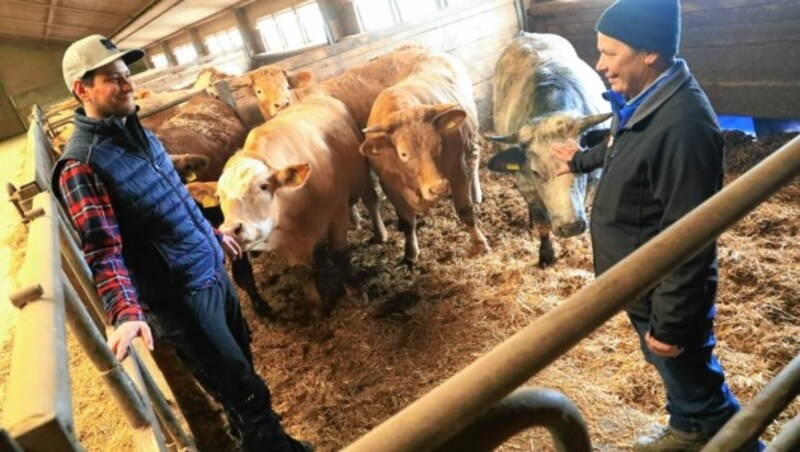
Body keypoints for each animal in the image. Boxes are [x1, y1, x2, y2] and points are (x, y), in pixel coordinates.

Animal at [216, 92, 384, 318]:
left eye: (263, 186)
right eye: (219, 196)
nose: (230, 231)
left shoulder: (336, 213)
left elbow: (340, 254)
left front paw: (356, 292)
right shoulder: (282, 241)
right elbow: (301, 271)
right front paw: (315, 307)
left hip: (362, 177)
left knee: (371, 202)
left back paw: (380, 232)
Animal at [360, 51, 488, 266]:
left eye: (439, 144)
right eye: (403, 153)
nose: (438, 188)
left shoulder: (458, 171)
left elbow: (465, 211)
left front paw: (480, 244)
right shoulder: (390, 187)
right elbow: (407, 222)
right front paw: (410, 253)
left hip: (472, 142)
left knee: (474, 165)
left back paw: (476, 194)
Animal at [488, 33, 612, 270]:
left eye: (580, 166)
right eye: (536, 172)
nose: (571, 226)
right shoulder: (527, 186)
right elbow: (542, 224)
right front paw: (546, 254)